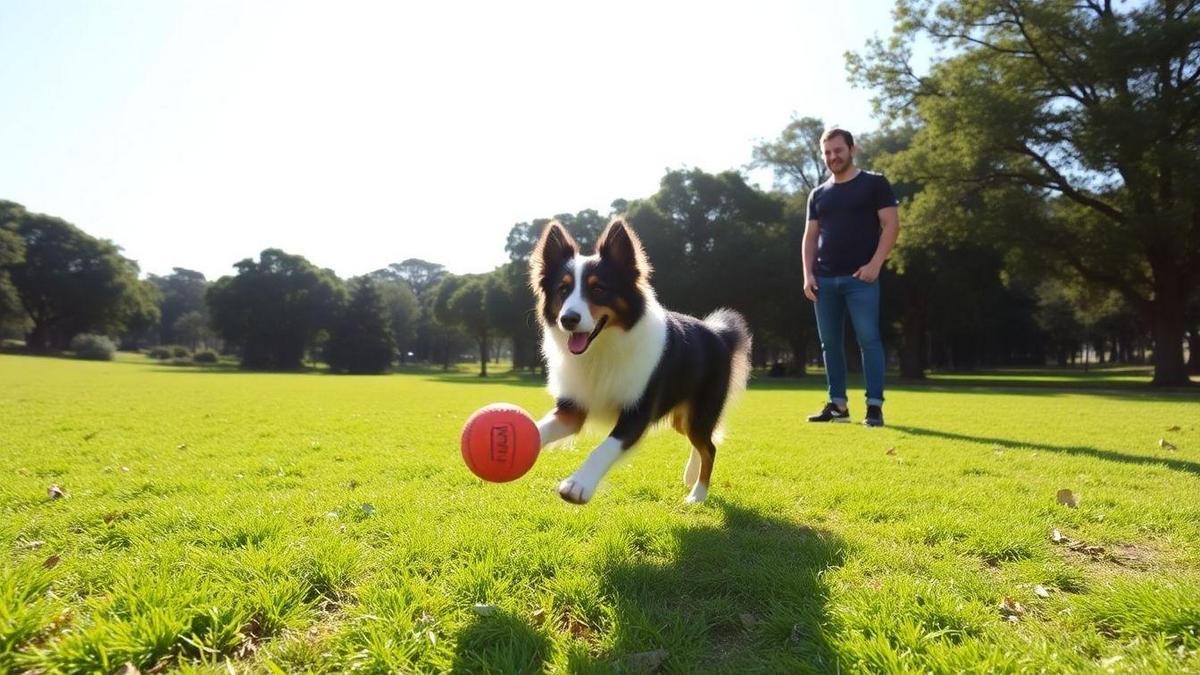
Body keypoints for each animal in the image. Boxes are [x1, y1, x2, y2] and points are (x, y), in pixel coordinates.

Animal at [528, 218, 744, 502]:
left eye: (598, 288)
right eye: (562, 289)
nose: (568, 319)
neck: (602, 349)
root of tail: (719, 333)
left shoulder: (637, 413)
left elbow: (604, 448)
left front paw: (578, 484)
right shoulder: (572, 408)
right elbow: (538, 428)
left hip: (700, 412)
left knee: (709, 447)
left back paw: (697, 495)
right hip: (682, 418)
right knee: (704, 443)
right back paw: (691, 475)